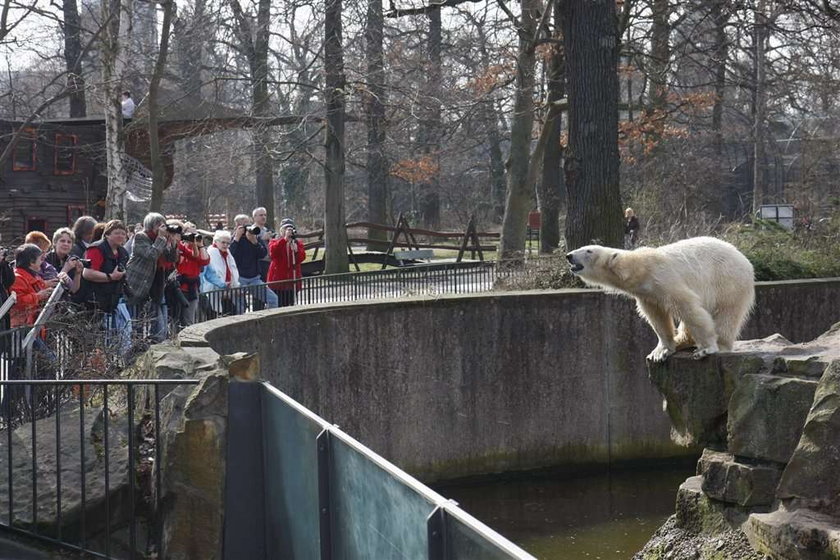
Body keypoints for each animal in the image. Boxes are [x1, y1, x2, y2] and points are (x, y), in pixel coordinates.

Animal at [564, 237, 756, 364]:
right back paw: (682, 341)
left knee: (726, 313)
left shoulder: (663, 278)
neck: (640, 269)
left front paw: (705, 349)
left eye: (589, 250)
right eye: (582, 247)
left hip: (728, 280)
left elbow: (688, 308)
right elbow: (657, 317)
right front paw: (660, 352)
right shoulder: (647, 294)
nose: (569, 255)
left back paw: (720, 344)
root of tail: (744, 259)